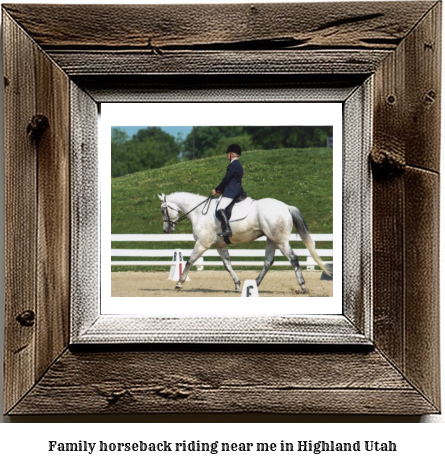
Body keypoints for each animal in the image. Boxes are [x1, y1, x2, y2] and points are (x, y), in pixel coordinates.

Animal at [157, 192, 330, 294]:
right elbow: (228, 265)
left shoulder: (202, 244)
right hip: (271, 239)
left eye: (162, 210)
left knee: (293, 259)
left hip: (280, 240)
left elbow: (189, 261)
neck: (200, 212)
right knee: (268, 261)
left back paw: (303, 286)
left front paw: (179, 283)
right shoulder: (220, 245)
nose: (166, 230)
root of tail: (286, 207)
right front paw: (237, 284)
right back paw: (254, 284)